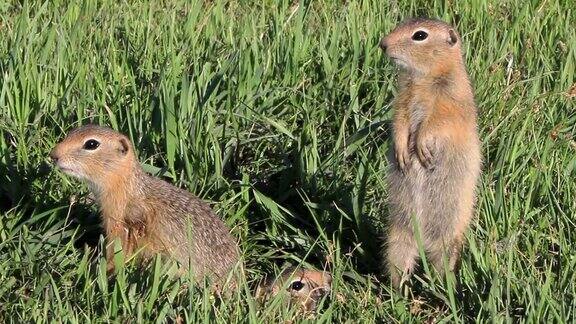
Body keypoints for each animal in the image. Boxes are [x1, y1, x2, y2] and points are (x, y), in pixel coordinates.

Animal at [380, 19, 484, 288]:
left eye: (420, 36)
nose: (382, 44)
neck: (423, 79)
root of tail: (423, 241)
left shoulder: (451, 99)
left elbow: (437, 121)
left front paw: (422, 146)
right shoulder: (403, 99)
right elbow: (400, 120)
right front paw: (402, 151)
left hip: (448, 237)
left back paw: (440, 287)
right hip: (398, 238)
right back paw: (399, 290)